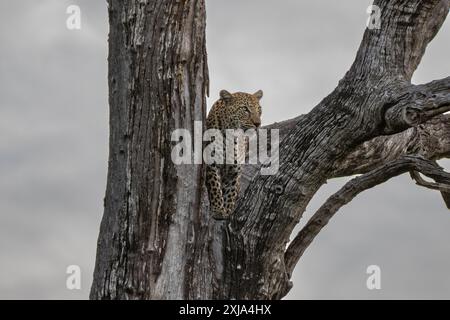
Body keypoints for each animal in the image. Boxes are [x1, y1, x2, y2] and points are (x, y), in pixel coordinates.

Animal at [205, 90, 264, 220]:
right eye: (245, 109)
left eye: (259, 109)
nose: (258, 124)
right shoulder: (211, 163)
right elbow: (215, 186)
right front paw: (218, 210)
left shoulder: (235, 170)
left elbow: (230, 192)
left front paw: (227, 211)